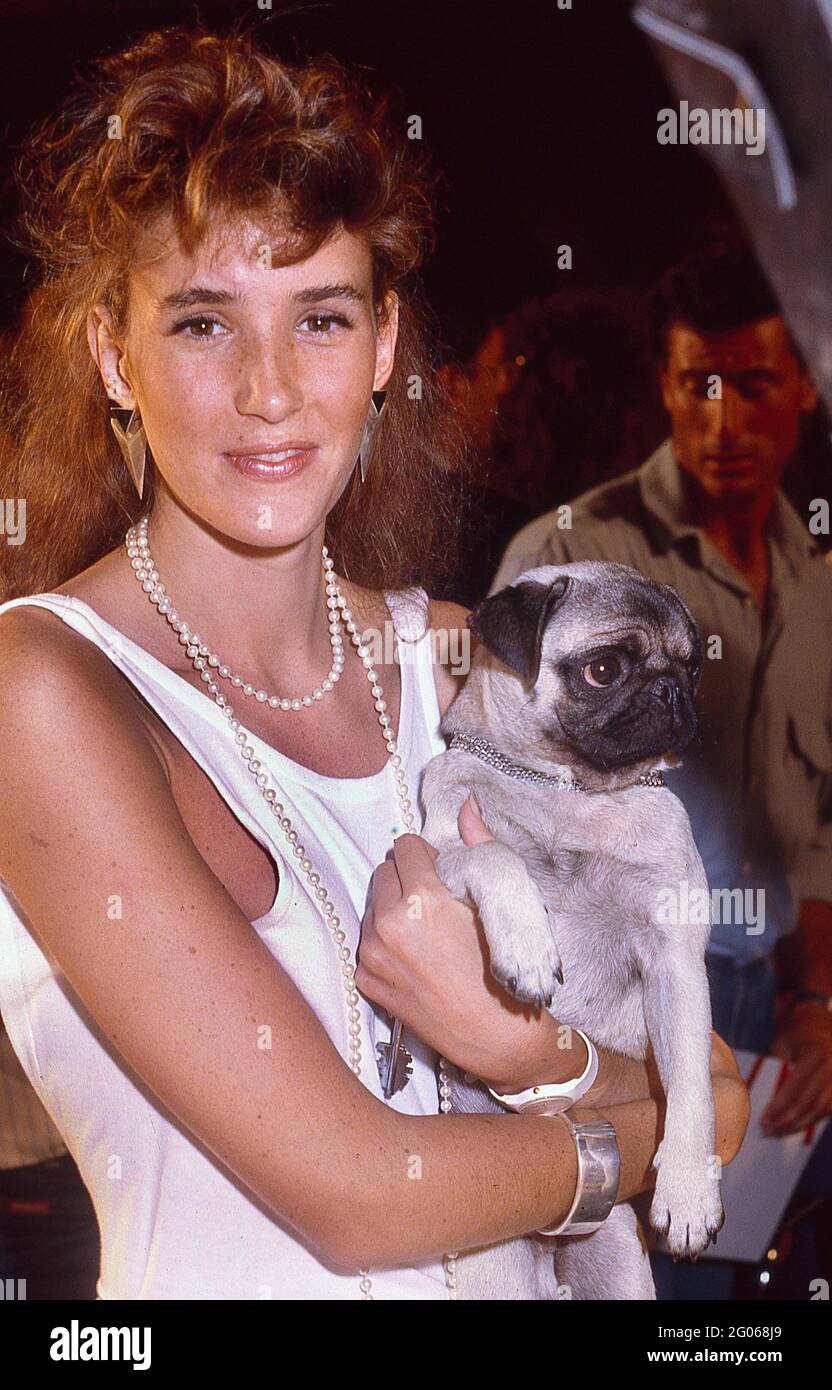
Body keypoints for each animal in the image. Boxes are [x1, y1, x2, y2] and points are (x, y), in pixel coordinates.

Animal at [419, 558, 727, 1295]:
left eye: (693, 667)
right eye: (604, 670)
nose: (673, 692)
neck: (567, 790)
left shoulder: (676, 960)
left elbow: (693, 1087)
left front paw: (688, 1191)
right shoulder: (432, 859)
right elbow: (496, 855)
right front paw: (529, 946)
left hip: (615, 1254)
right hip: (493, 1268)